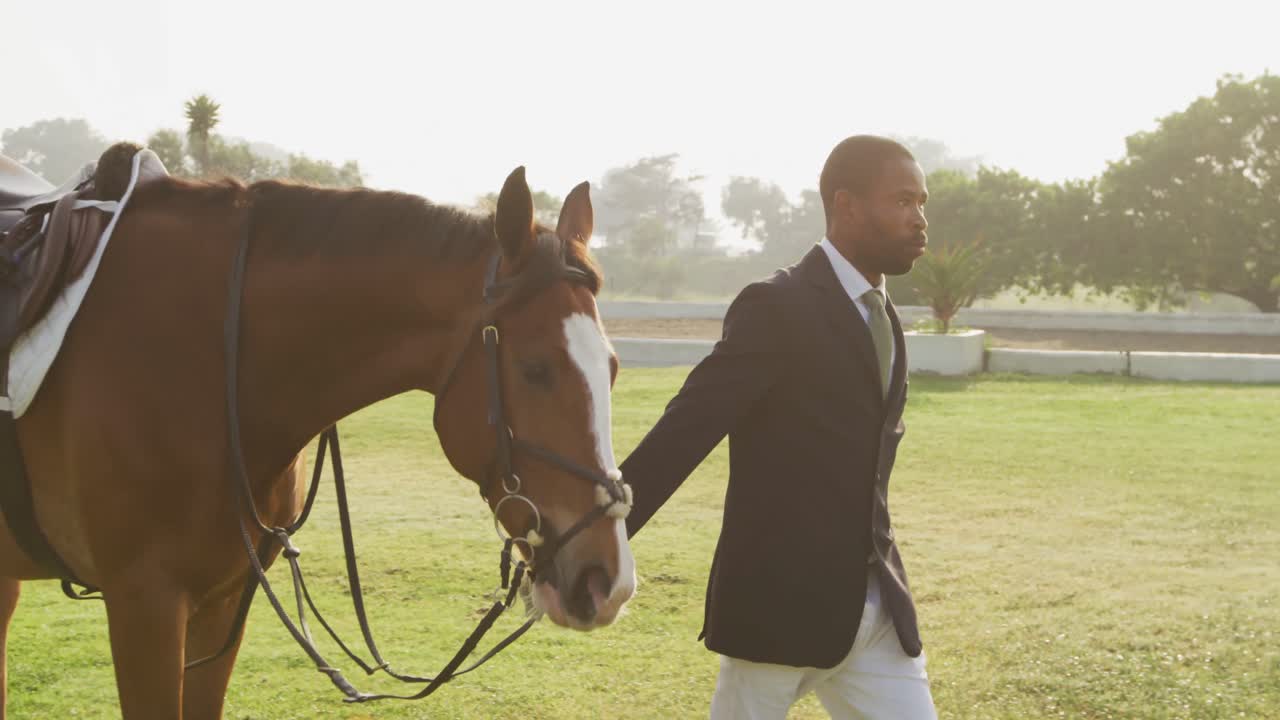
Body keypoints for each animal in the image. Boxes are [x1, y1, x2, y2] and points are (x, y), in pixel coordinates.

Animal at [0, 157, 636, 718]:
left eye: (611, 368)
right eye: (535, 369)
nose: (608, 580)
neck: (209, 359)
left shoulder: (222, 602)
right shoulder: (144, 605)